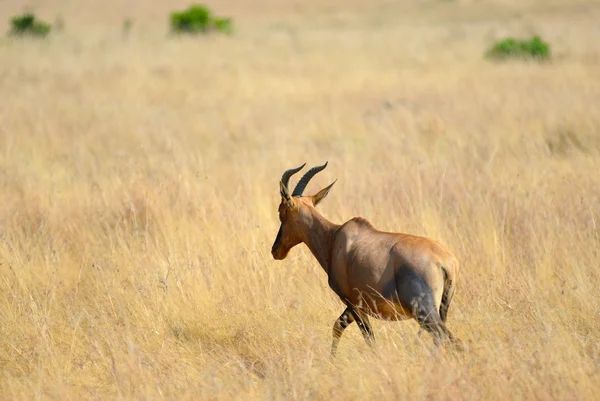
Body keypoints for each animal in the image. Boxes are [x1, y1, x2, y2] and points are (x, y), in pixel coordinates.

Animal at [272, 161, 464, 354]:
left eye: (281, 212)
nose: (275, 250)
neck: (334, 237)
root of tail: (446, 262)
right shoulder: (355, 306)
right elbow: (338, 326)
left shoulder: (353, 303)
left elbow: (368, 338)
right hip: (441, 309)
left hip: (424, 311)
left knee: (448, 338)